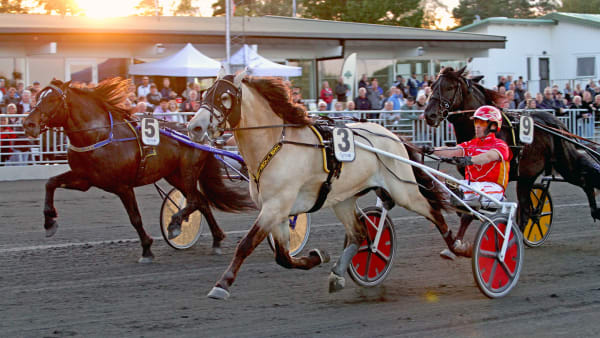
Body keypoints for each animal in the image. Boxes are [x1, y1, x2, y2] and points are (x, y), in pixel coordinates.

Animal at [21, 78, 253, 262]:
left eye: (51, 100)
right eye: (38, 97)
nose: (28, 124)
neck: (99, 136)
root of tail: (199, 134)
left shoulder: (123, 186)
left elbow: (135, 218)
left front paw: (147, 249)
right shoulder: (84, 179)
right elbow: (50, 183)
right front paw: (49, 222)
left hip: (188, 172)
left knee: (195, 201)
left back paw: (175, 225)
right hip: (174, 175)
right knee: (201, 202)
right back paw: (216, 240)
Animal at [189, 70, 464, 300]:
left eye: (224, 97)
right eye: (204, 93)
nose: (195, 127)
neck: (277, 144)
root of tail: (393, 135)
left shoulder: (276, 206)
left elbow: (246, 244)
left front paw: (222, 284)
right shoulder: (276, 211)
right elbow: (283, 257)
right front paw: (317, 256)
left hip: (403, 190)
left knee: (433, 212)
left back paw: (458, 247)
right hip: (343, 200)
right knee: (359, 233)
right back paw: (339, 273)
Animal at [424, 65, 600, 230]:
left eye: (450, 87)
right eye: (432, 86)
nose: (429, 115)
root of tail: (555, 122)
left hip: (554, 167)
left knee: (582, 180)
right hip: (530, 175)